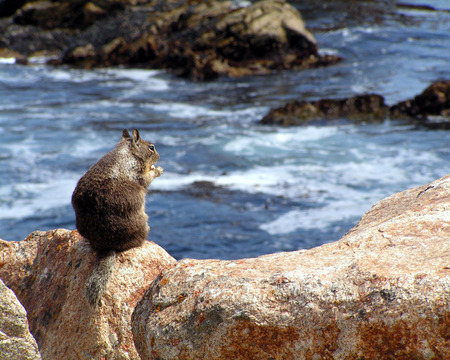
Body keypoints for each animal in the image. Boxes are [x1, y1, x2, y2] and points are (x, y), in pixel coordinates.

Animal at [70, 129, 162, 310]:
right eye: (151, 147)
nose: (159, 156)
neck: (127, 151)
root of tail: (107, 245)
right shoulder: (137, 172)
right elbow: (146, 178)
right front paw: (158, 169)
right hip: (142, 221)